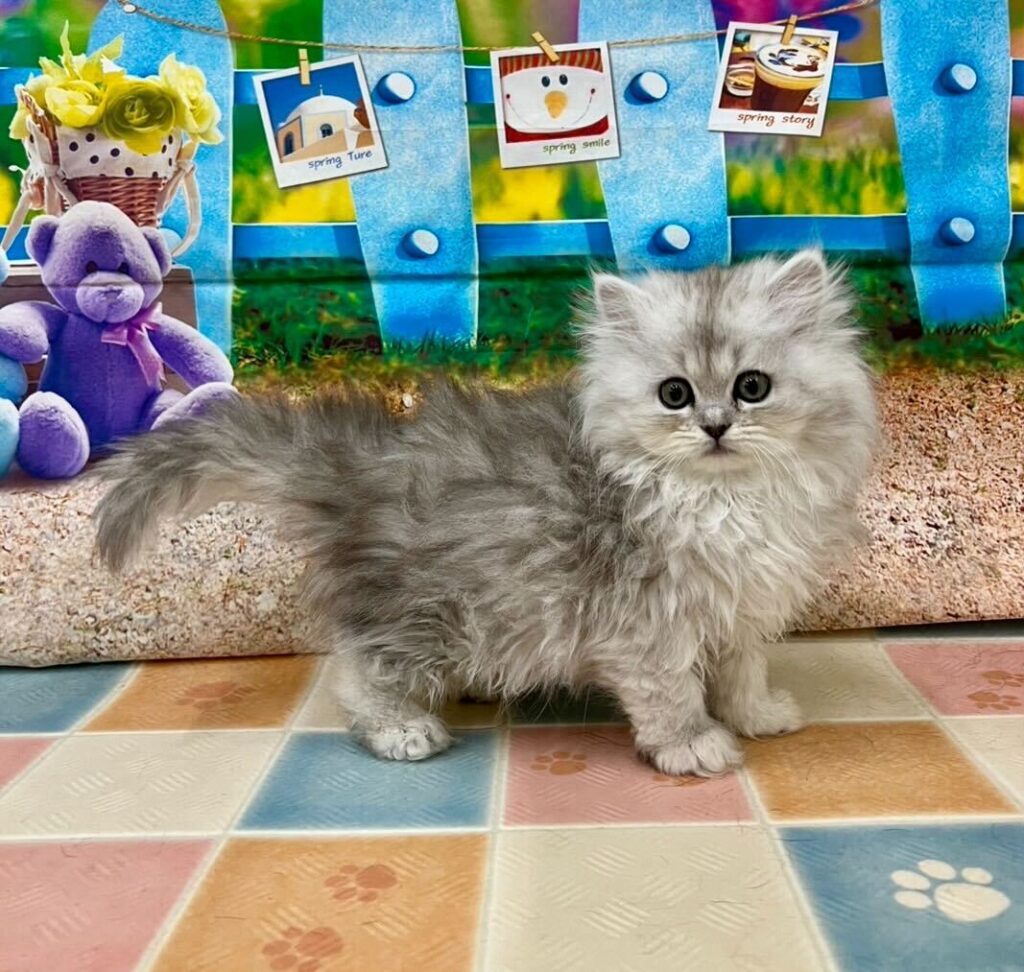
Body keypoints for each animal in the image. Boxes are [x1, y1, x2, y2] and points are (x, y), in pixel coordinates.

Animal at [92, 250, 878, 775]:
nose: (715, 427)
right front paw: (693, 744)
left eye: (752, 387)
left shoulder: (738, 604)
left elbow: (741, 670)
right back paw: (402, 730)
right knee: (359, 672)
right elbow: (671, 694)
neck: (720, 498)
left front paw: (757, 715)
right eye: (675, 395)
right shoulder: (644, 623)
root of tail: (351, 458)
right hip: (421, 612)